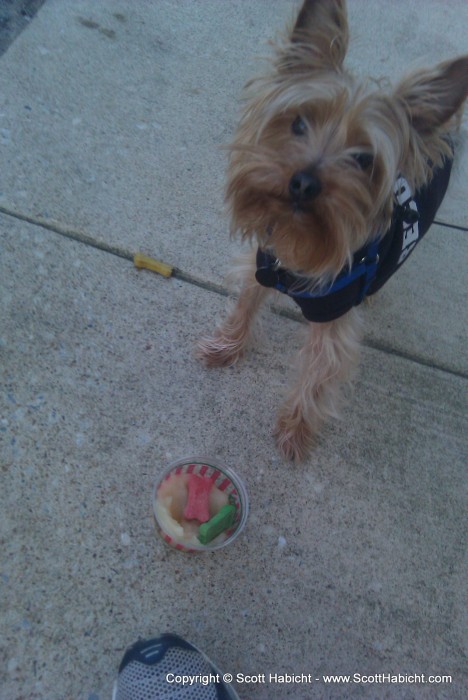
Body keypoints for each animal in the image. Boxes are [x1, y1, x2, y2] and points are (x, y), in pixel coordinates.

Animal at [197, 0, 468, 462]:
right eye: (298, 123)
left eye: (363, 159)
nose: (303, 183)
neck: (300, 241)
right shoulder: (262, 264)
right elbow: (246, 303)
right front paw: (227, 345)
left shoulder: (335, 320)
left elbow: (319, 373)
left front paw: (295, 430)